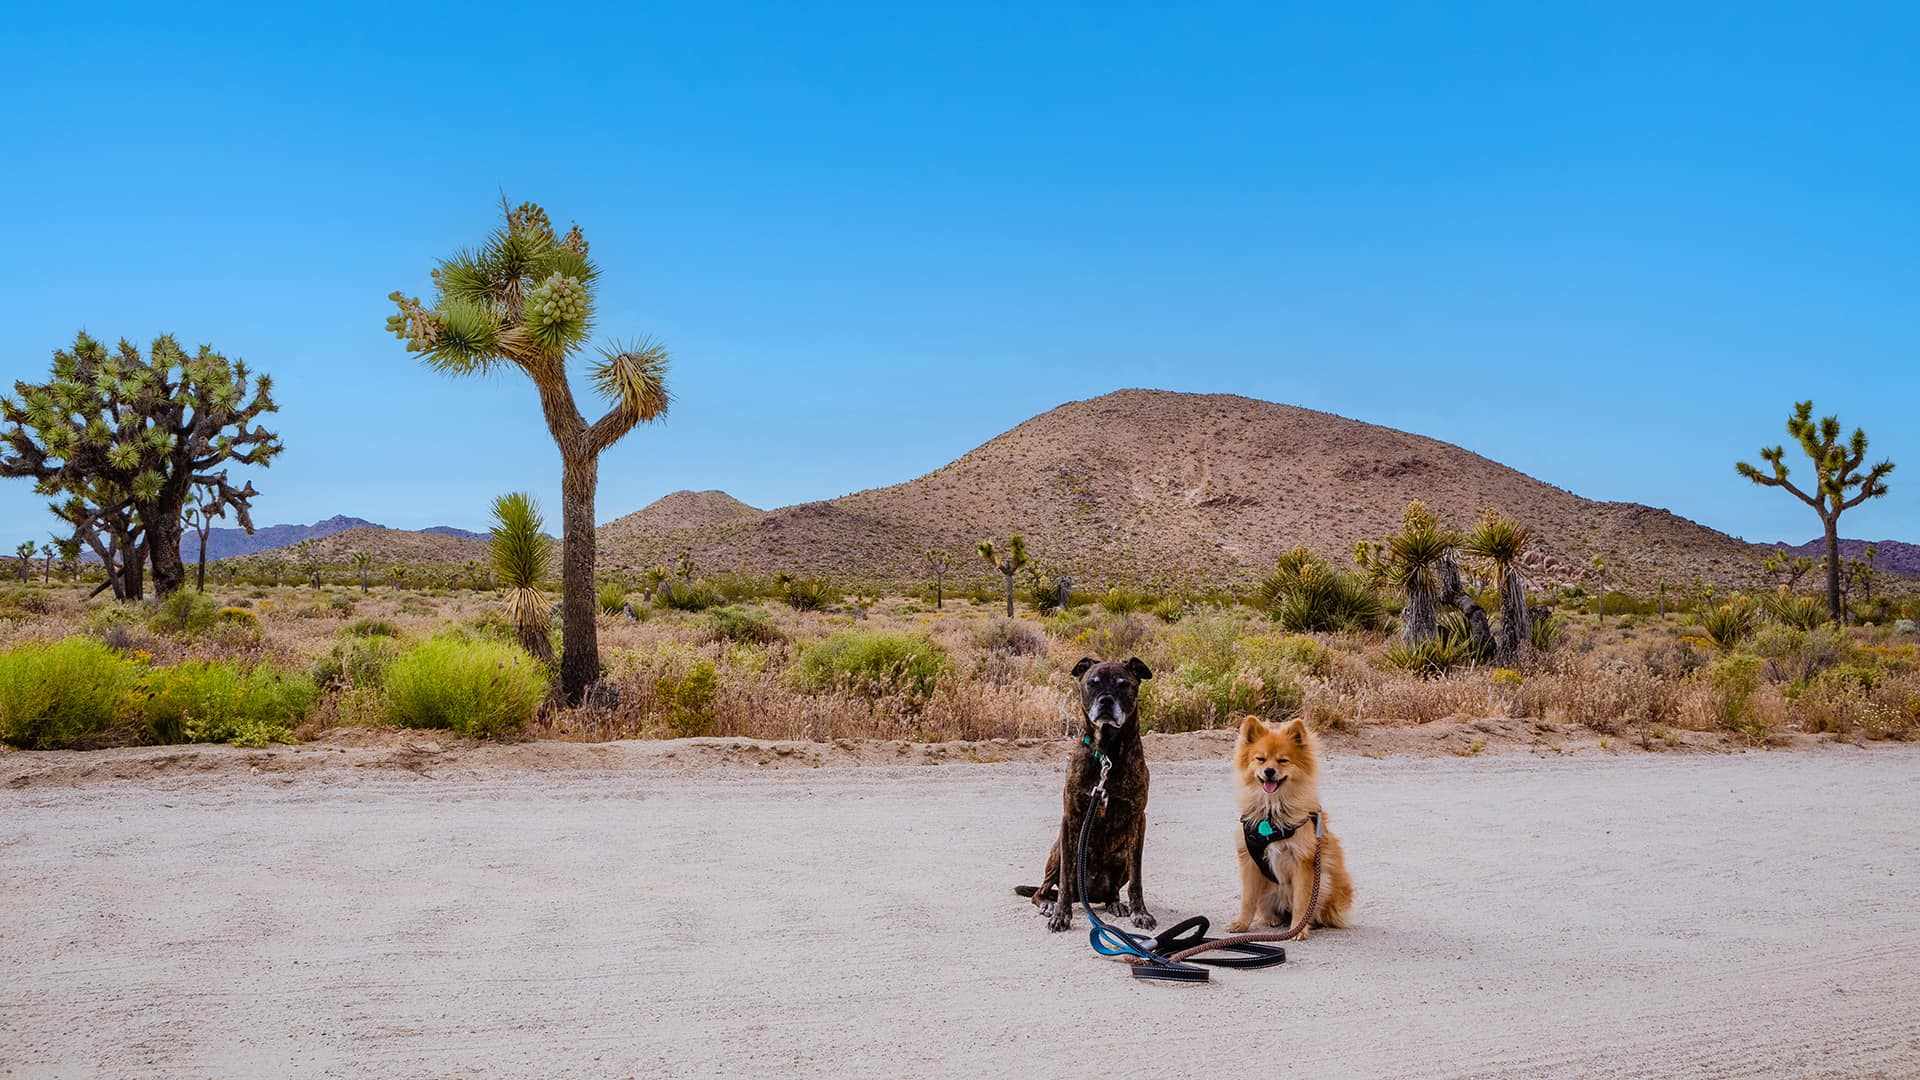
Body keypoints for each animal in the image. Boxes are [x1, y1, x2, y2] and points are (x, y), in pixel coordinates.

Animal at [1013, 653, 1159, 930]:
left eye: (1124, 684)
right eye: (1092, 683)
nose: (1106, 701)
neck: (1107, 754)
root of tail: (1089, 894)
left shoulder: (1138, 819)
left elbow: (1137, 878)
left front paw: (1140, 912)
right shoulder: (1070, 816)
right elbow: (1065, 882)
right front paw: (1061, 914)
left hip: (1121, 858)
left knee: (1113, 890)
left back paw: (1115, 903)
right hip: (1059, 851)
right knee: (1044, 890)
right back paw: (1048, 904)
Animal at [1228, 714, 1351, 933]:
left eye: (1283, 761)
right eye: (1260, 759)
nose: (1269, 771)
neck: (1272, 813)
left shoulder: (1303, 863)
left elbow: (1302, 901)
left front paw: (1299, 929)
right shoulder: (1249, 861)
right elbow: (1248, 899)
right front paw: (1242, 924)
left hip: (1325, 881)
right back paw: (1272, 919)